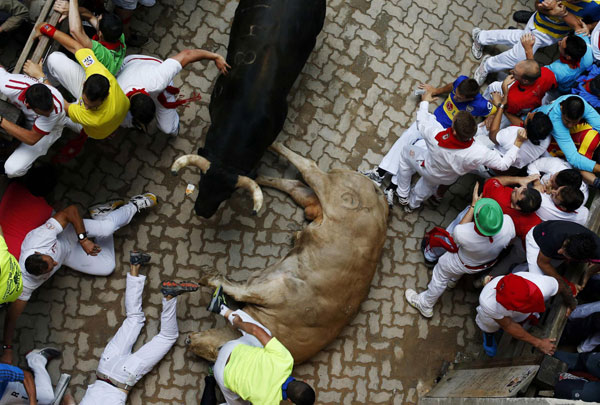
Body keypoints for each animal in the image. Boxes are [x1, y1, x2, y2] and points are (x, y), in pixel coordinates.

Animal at [185, 143, 390, 362]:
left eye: (211, 353)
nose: (188, 341)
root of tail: (380, 195)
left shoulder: (275, 289)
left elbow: (239, 291)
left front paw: (210, 278)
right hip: (327, 192)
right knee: (306, 170)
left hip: (323, 195)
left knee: (301, 176)